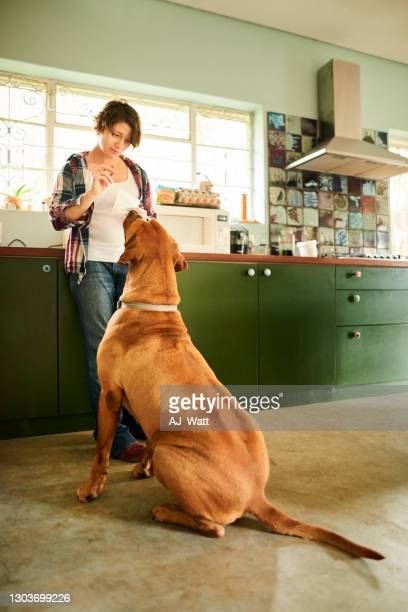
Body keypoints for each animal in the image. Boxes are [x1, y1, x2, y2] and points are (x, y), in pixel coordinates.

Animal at [75, 214, 382, 560]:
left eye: (139, 222)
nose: (134, 210)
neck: (153, 306)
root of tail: (255, 496)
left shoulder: (109, 395)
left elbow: (101, 453)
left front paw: (90, 489)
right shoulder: (148, 416)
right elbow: (149, 441)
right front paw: (141, 468)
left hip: (172, 458)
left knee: (213, 527)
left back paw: (165, 511)